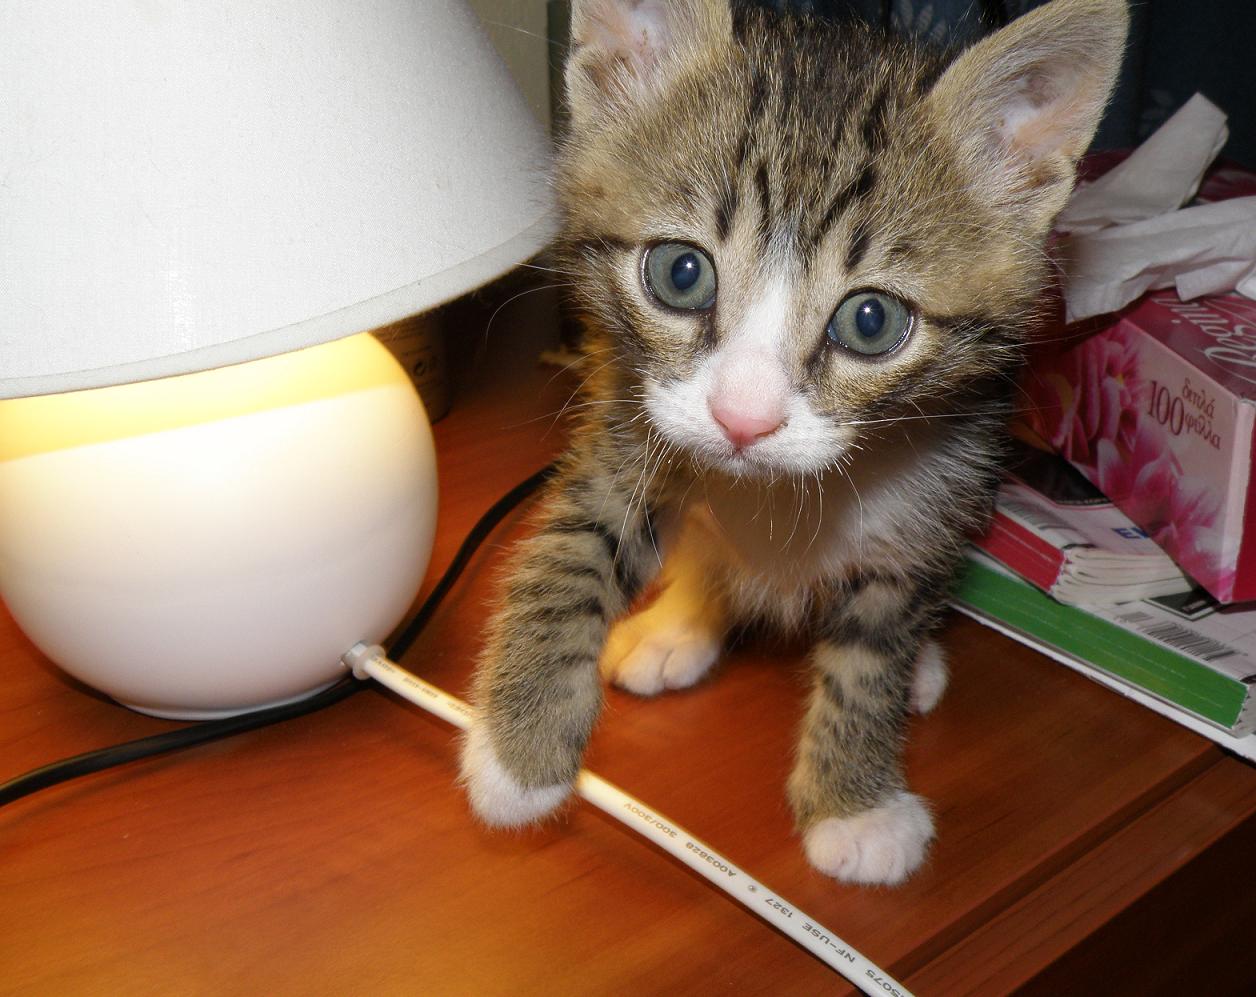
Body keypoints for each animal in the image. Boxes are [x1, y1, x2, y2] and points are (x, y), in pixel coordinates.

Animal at [459, 0, 1127, 886]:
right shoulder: (626, 418)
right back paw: (681, 622)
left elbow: (873, 650)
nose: (744, 419)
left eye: (872, 321)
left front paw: (853, 803)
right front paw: (519, 750)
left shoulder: (942, 483)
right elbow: (574, 548)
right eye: (680, 273)